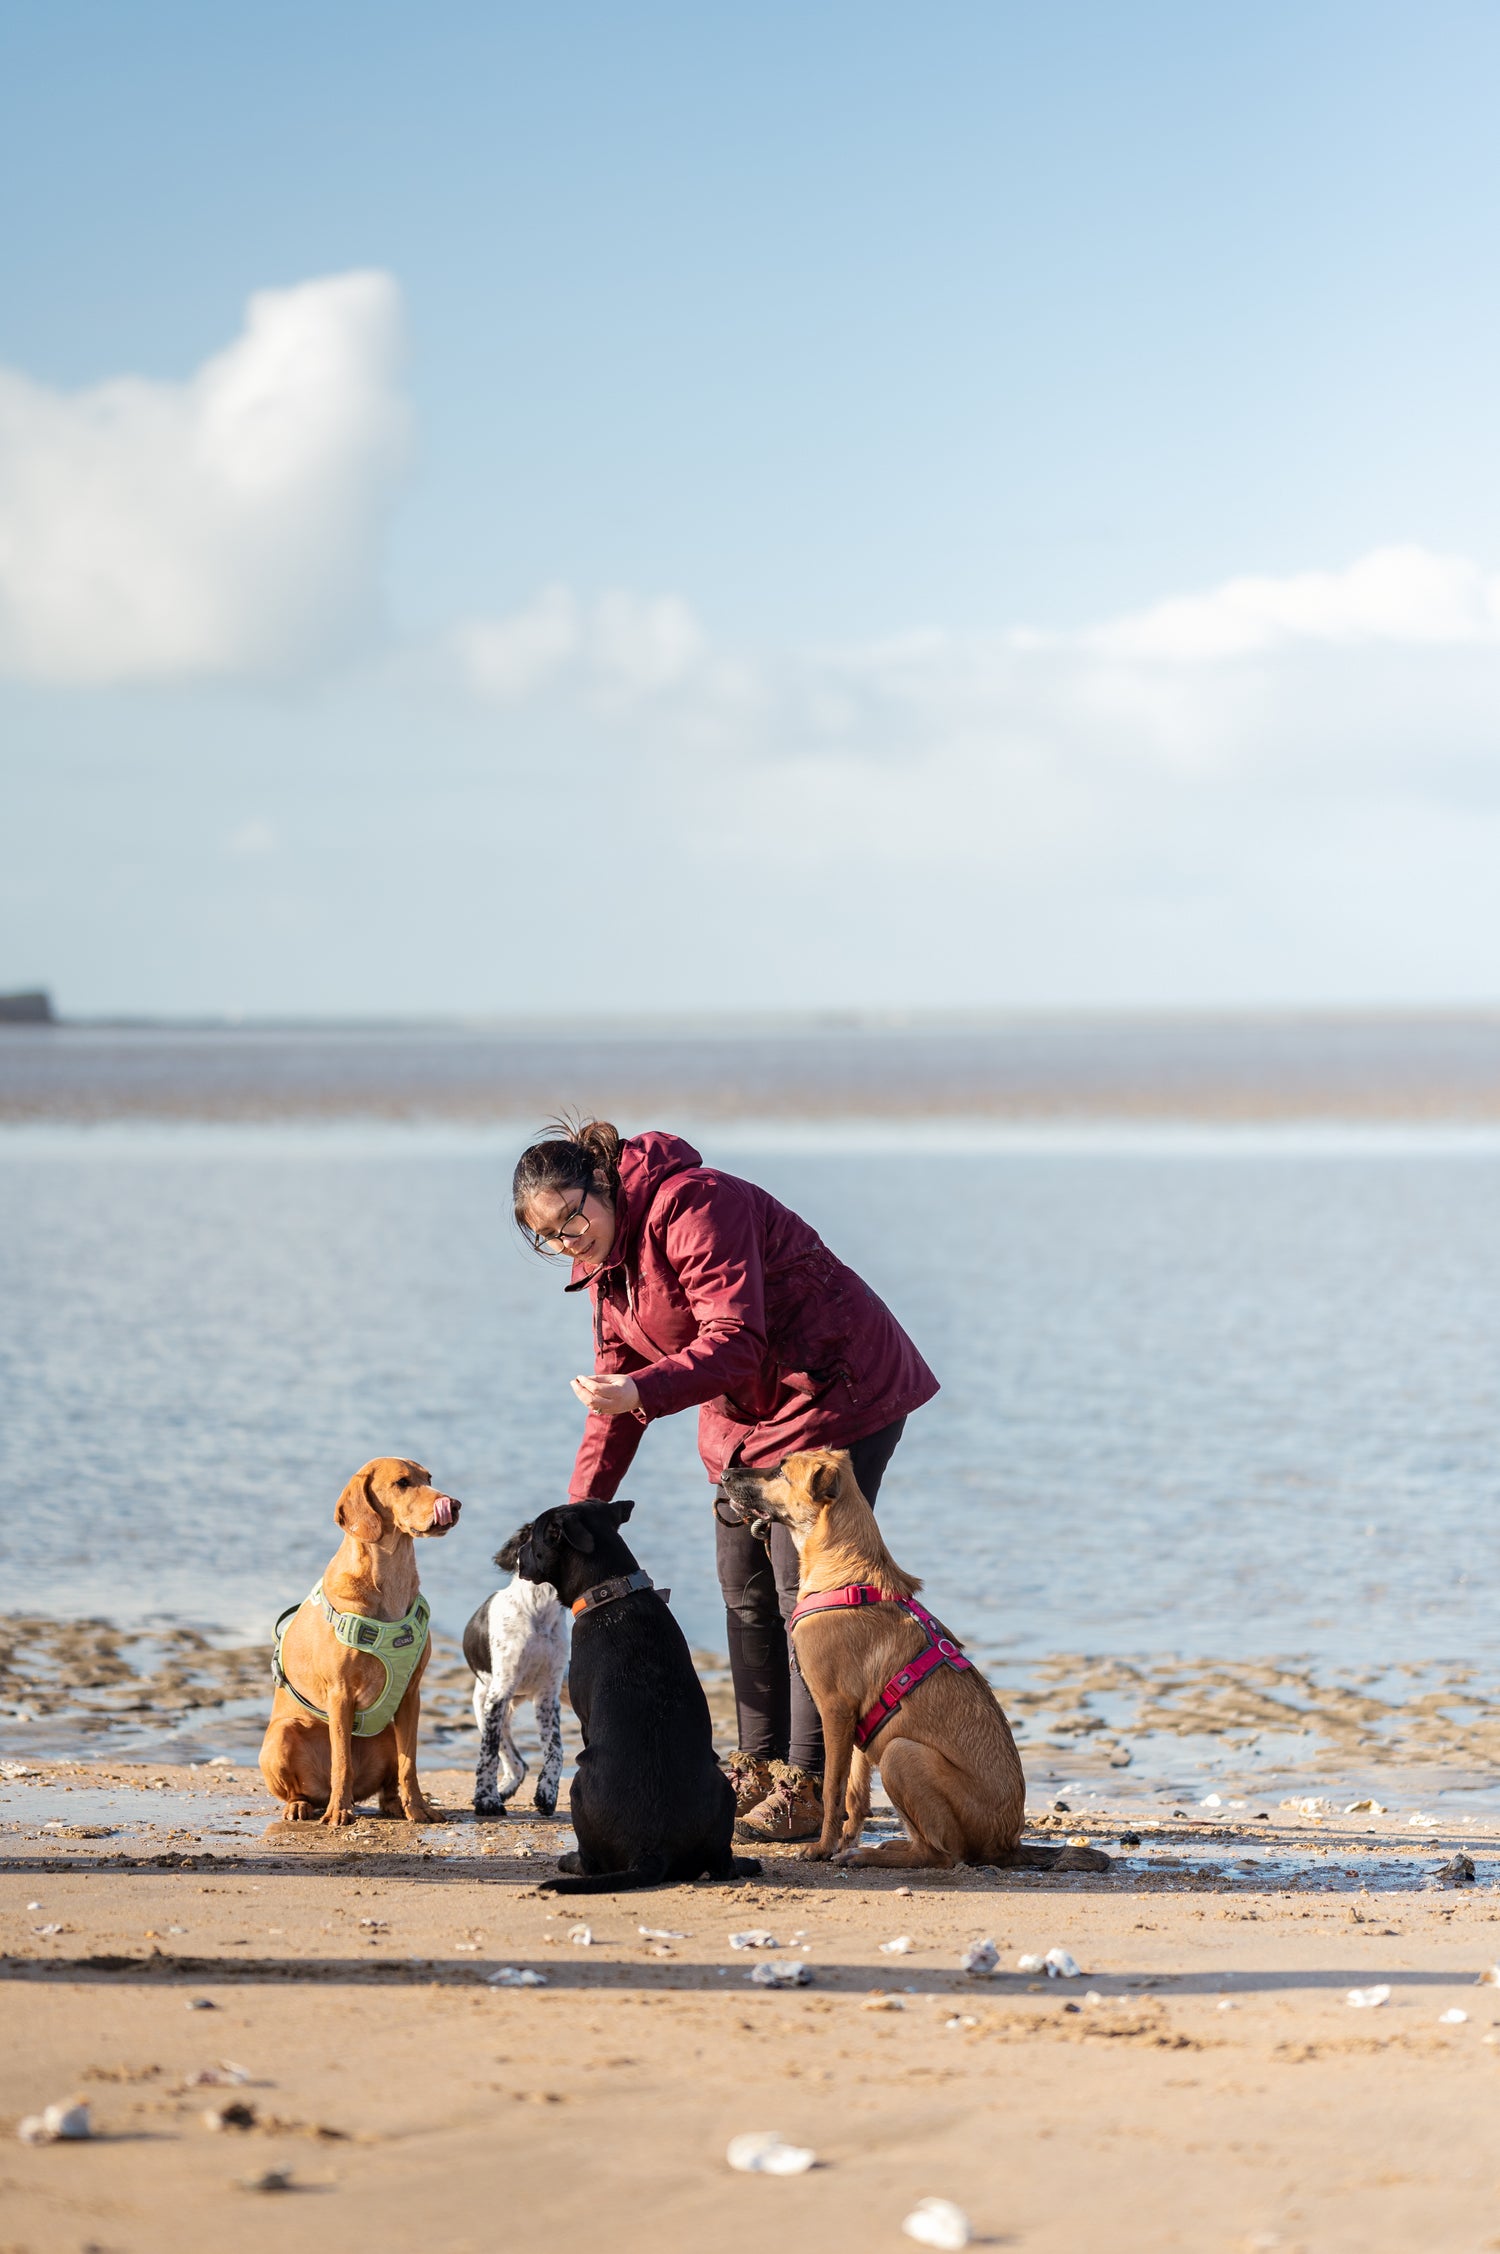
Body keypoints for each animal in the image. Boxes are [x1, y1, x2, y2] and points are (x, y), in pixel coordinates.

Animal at [257, 1469, 460, 1821]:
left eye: (429, 1478)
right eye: (402, 1482)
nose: (455, 1504)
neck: (390, 1579)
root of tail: (319, 1792)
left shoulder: (411, 1694)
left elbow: (409, 1764)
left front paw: (418, 1808)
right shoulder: (340, 1694)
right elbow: (342, 1761)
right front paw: (340, 1812)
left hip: (387, 1733)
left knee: (388, 1784)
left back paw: (397, 1805)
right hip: (280, 1736)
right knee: (304, 1788)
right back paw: (304, 1804)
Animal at [460, 1577, 570, 1821]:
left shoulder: (548, 1698)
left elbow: (555, 1750)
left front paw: (547, 1793)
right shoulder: (499, 1694)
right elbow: (488, 1753)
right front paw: (487, 1801)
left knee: (519, 1764)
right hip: (485, 1705)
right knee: (513, 1760)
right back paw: (499, 1791)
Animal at [496, 1505, 762, 1893]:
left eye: (533, 1536)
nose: (515, 1556)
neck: (612, 1592)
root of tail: (651, 1852)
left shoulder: (584, 1715)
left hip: (577, 1787)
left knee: (591, 1862)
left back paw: (570, 1861)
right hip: (723, 1790)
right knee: (722, 1865)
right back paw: (747, 1863)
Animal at [721, 1451, 1105, 1875]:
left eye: (780, 1471)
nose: (724, 1473)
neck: (844, 1572)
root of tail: (1009, 1845)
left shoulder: (835, 1711)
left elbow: (834, 1791)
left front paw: (822, 1848)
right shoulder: (857, 1724)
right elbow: (855, 1797)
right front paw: (844, 1839)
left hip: (902, 1753)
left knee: (941, 1855)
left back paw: (872, 1855)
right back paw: (883, 1847)